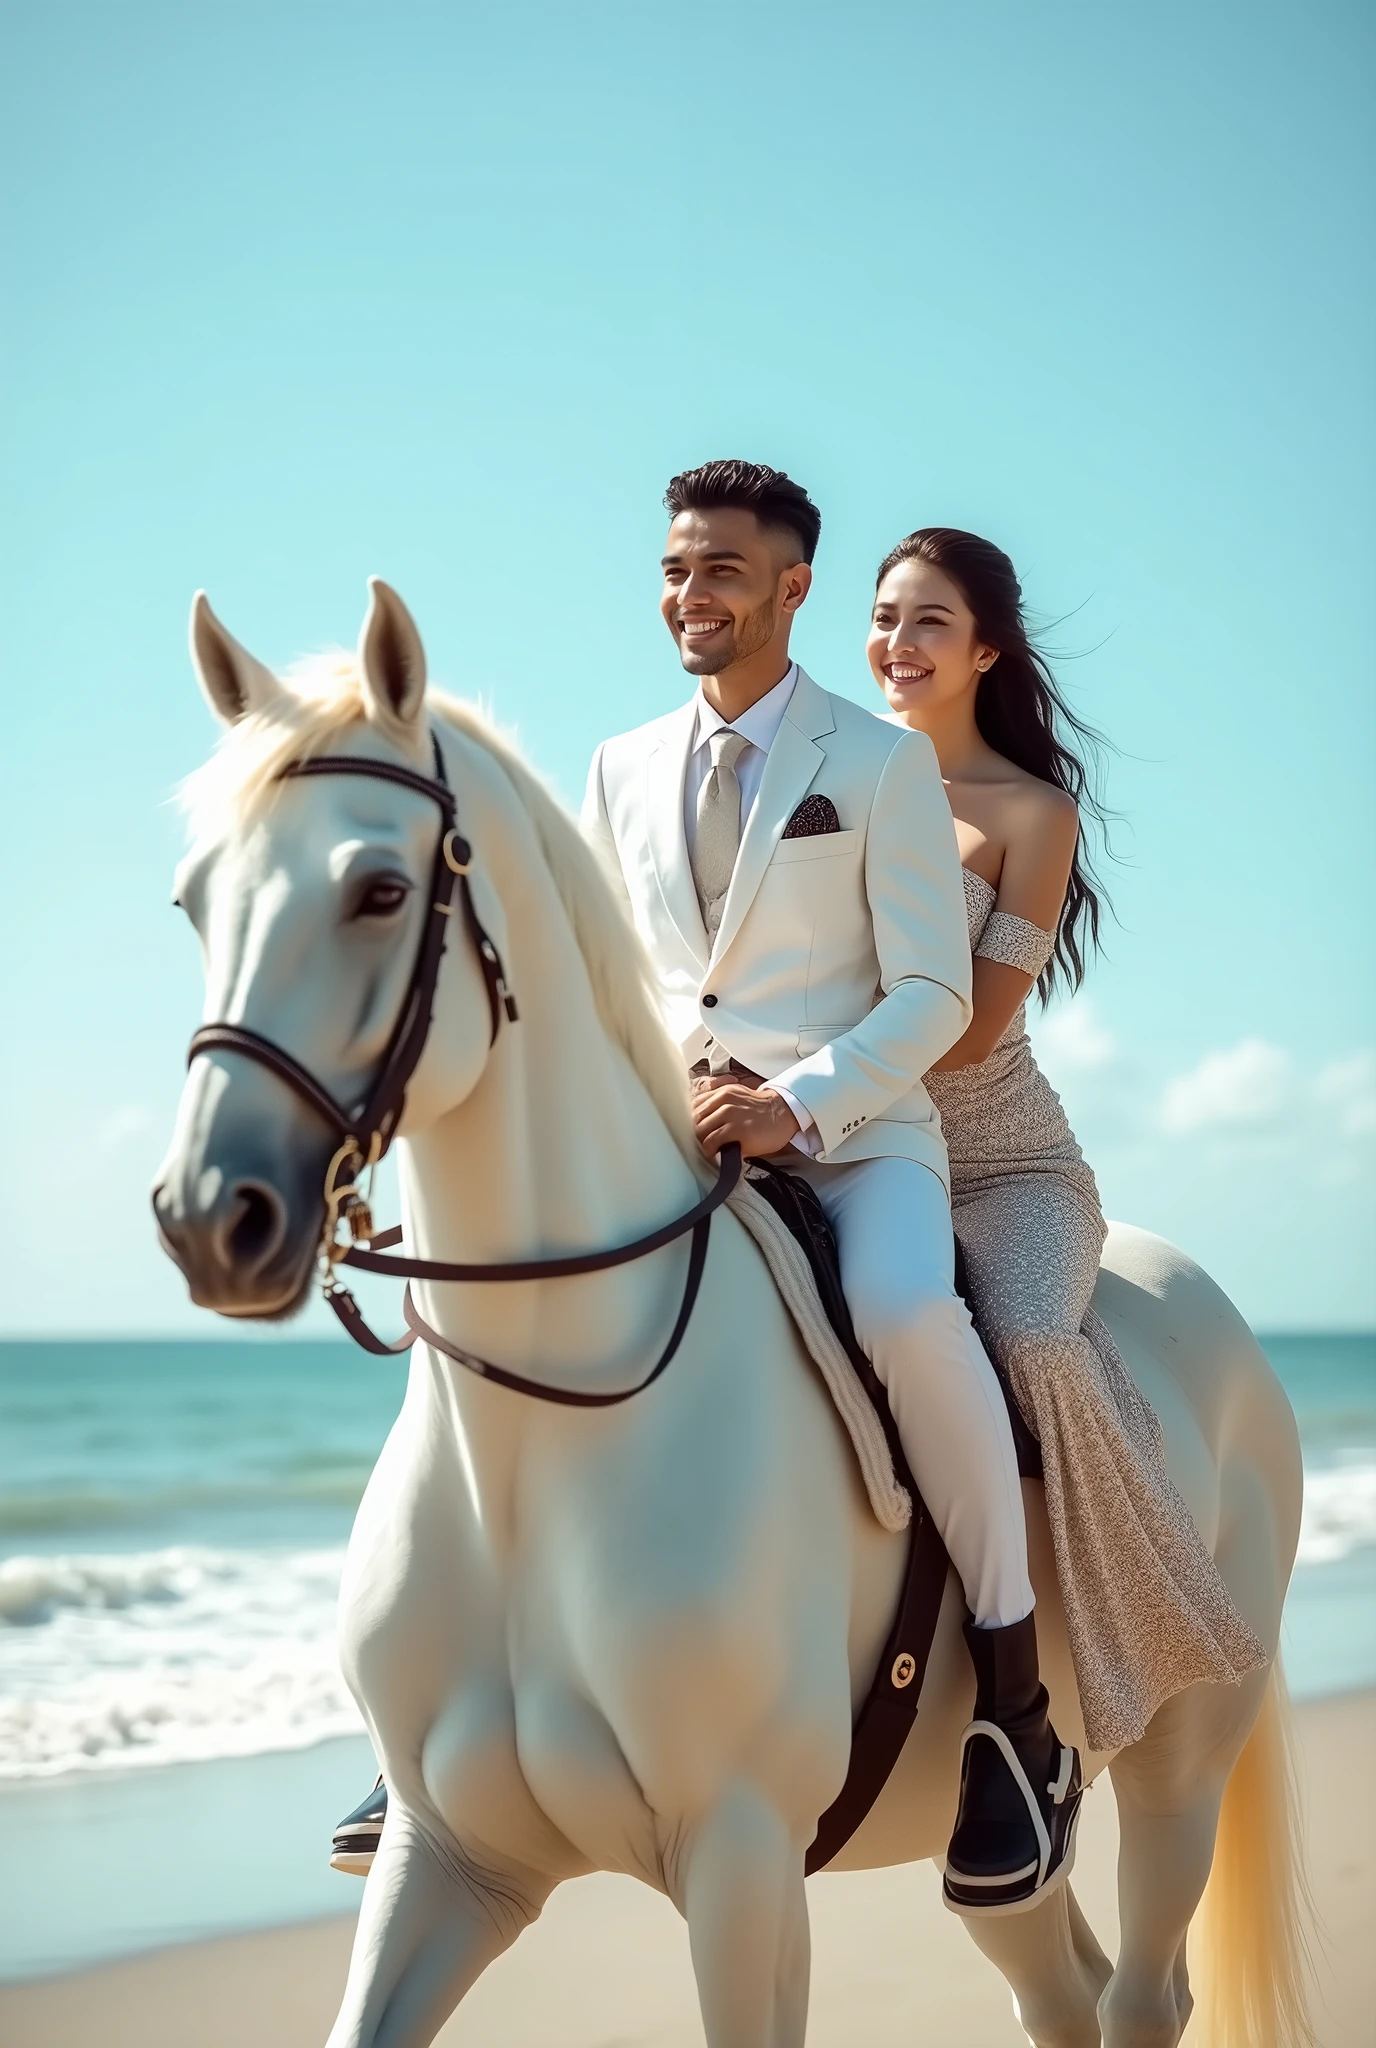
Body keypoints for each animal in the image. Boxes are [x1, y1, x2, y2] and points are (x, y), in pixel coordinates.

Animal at [155, 581, 1302, 2048]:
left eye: (379, 889)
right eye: (195, 899)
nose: (211, 1216)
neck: (541, 1441)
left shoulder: (744, 1864)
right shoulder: (444, 1860)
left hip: (1179, 1759)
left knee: (1145, 1988)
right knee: (1061, 1983)